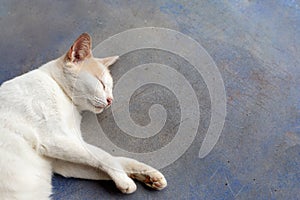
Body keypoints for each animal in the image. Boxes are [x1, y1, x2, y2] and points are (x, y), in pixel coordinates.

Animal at [0, 32, 166, 199]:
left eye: (110, 88)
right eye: (102, 84)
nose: (110, 100)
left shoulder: (61, 159)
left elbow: (114, 160)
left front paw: (148, 174)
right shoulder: (54, 140)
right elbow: (104, 156)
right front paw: (124, 181)